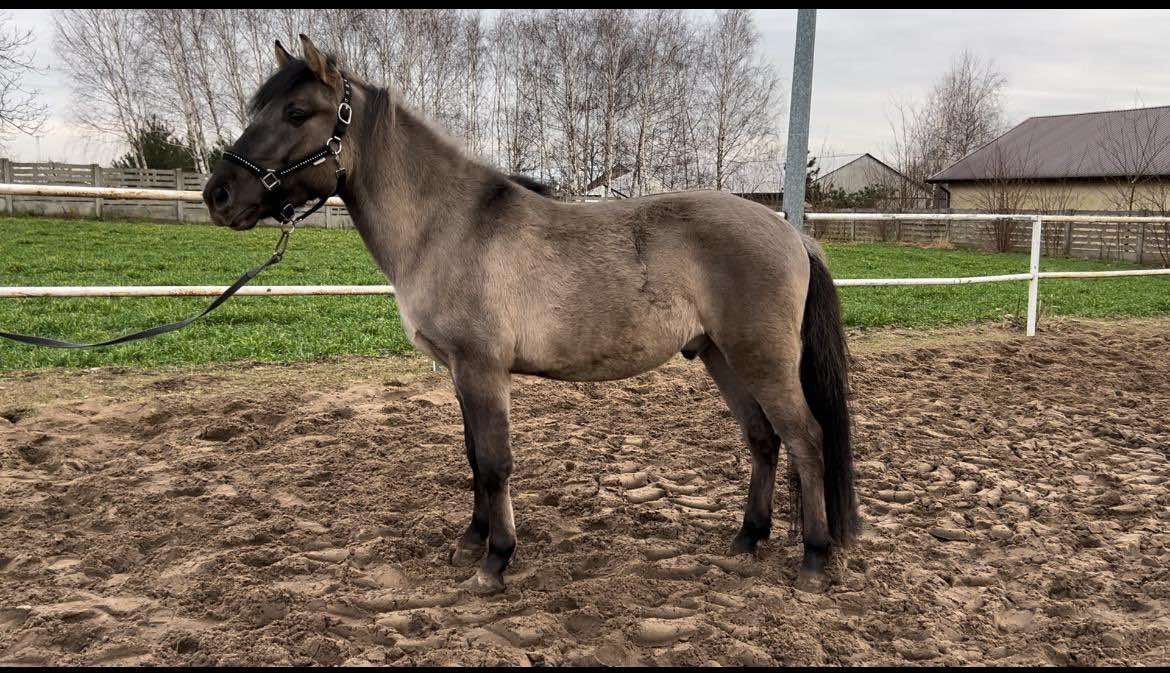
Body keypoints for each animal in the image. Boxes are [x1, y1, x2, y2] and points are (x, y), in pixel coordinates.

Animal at [203, 36, 861, 594]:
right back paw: (747, 540)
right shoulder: (459, 373)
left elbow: (495, 464)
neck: (448, 225)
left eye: (297, 113)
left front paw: (496, 562)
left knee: (806, 439)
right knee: (763, 439)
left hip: (761, 359)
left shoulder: (482, 370)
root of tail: (792, 232)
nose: (220, 195)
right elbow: (473, 458)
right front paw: (472, 542)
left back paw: (813, 559)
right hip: (721, 356)